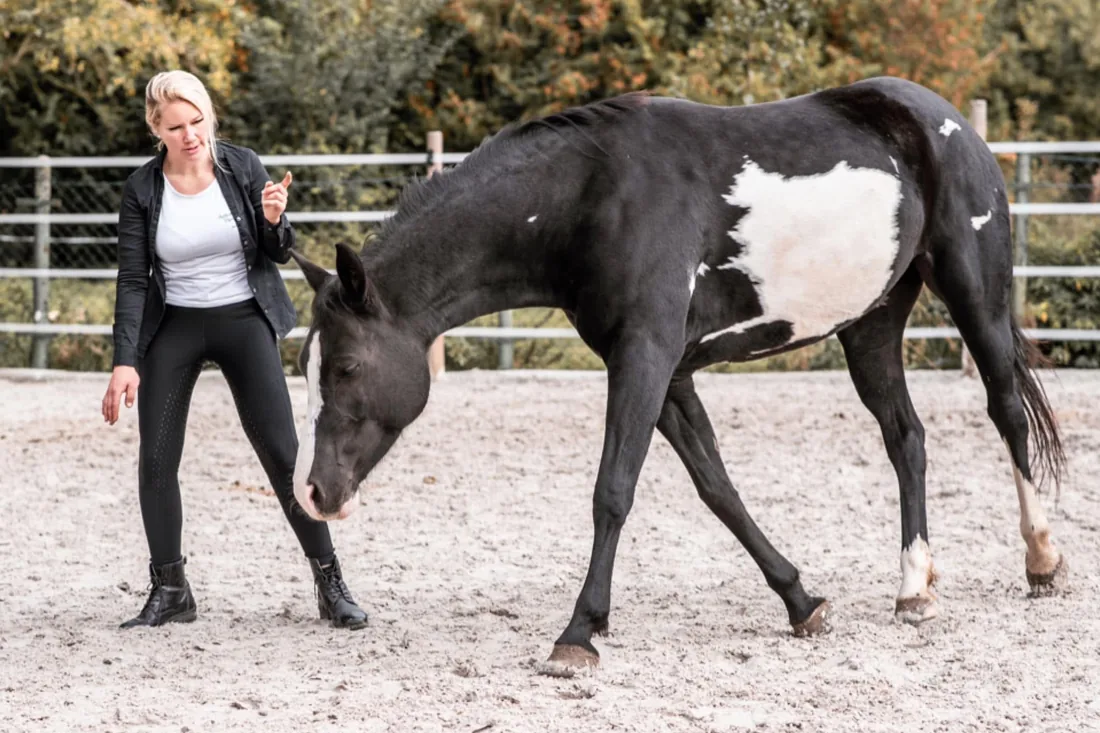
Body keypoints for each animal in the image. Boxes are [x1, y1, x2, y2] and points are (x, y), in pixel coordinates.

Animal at [287, 76, 1067, 674]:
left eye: (346, 365)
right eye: (305, 366)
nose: (314, 492)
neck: (593, 196)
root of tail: (945, 121)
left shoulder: (646, 358)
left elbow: (612, 492)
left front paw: (578, 634)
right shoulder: (664, 373)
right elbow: (718, 488)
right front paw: (801, 602)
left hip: (974, 296)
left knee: (1006, 411)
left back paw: (1041, 560)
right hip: (870, 324)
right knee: (906, 438)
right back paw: (914, 589)